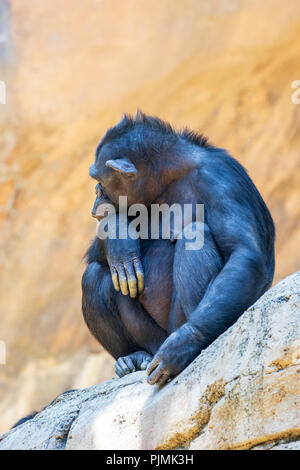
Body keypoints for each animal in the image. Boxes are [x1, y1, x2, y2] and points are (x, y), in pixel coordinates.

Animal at [81, 110, 274, 386]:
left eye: (99, 181)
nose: (96, 195)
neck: (169, 177)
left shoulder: (222, 179)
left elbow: (243, 251)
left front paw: (184, 344)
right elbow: (97, 255)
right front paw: (118, 233)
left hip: (176, 325)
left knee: (196, 234)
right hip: (152, 339)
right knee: (95, 274)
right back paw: (132, 357)